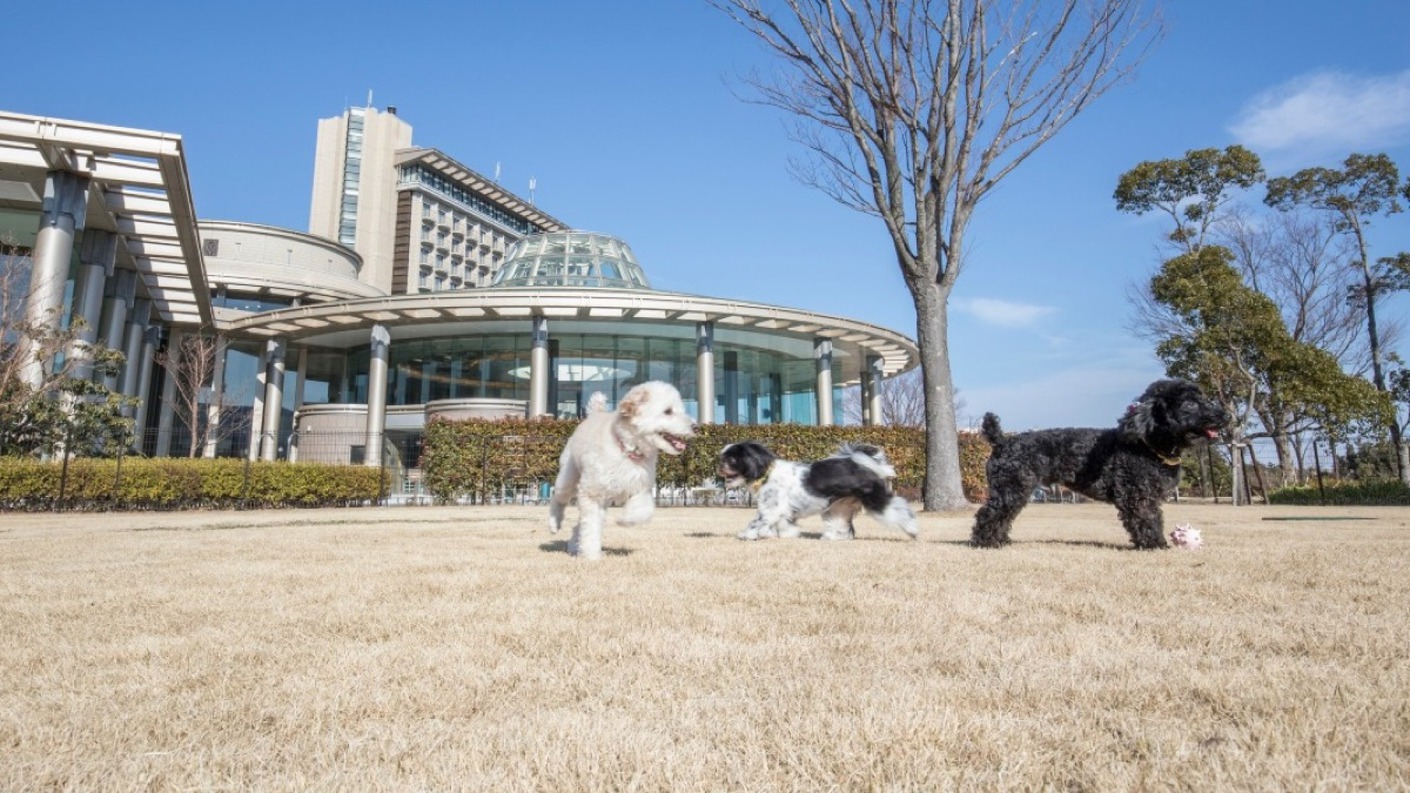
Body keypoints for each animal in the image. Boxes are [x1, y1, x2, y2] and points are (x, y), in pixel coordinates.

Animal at [547, 380, 696, 558]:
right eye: (668, 411)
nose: (696, 426)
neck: (627, 450)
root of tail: (595, 414)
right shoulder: (592, 494)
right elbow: (591, 528)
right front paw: (591, 556)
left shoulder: (641, 487)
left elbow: (643, 510)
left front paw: (625, 520)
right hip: (568, 478)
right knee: (558, 498)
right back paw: (554, 524)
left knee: (579, 525)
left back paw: (574, 546)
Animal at [975, 380, 1229, 547]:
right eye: (1190, 404)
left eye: (1204, 399)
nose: (1225, 415)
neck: (1147, 444)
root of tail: (1001, 441)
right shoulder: (1138, 495)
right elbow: (1148, 519)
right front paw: (1155, 544)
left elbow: (1153, 518)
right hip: (1010, 488)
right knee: (989, 514)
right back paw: (985, 542)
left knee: (1002, 516)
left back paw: (1001, 540)